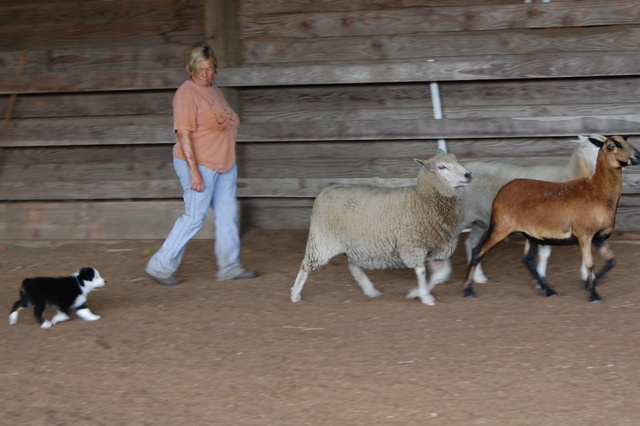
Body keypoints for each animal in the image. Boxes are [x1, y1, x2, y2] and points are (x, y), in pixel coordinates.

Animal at [290, 153, 472, 306]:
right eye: (442, 167)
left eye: (456, 160)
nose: (468, 174)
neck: (422, 198)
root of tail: (324, 191)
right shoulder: (413, 245)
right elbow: (421, 272)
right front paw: (425, 297)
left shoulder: (437, 247)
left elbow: (441, 275)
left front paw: (417, 293)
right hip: (322, 240)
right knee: (306, 265)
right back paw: (295, 293)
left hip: (355, 245)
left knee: (353, 266)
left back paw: (370, 290)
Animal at [462, 135, 640, 303]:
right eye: (611, 146)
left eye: (626, 141)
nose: (637, 156)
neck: (598, 191)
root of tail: (502, 191)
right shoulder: (584, 235)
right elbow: (590, 264)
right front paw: (593, 294)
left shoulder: (600, 237)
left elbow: (611, 261)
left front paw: (589, 284)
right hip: (500, 227)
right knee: (477, 252)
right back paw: (467, 289)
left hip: (530, 234)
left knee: (526, 259)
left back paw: (548, 290)